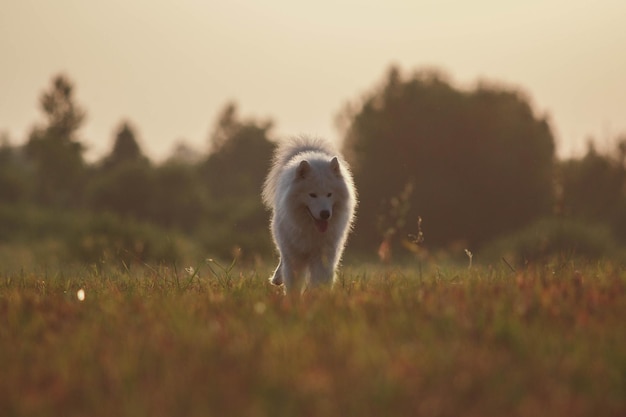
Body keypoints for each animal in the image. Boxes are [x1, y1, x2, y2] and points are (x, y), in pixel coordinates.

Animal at [260, 136, 356, 292]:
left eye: (329, 194)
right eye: (312, 195)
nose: (325, 214)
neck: (311, 230)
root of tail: (311, 152)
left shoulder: (323, 255)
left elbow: (319, 280)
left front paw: (316, 295)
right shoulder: (294, 255)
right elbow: (293, 282)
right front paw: (293, 298)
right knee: (282, 260)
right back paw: (277, 278)